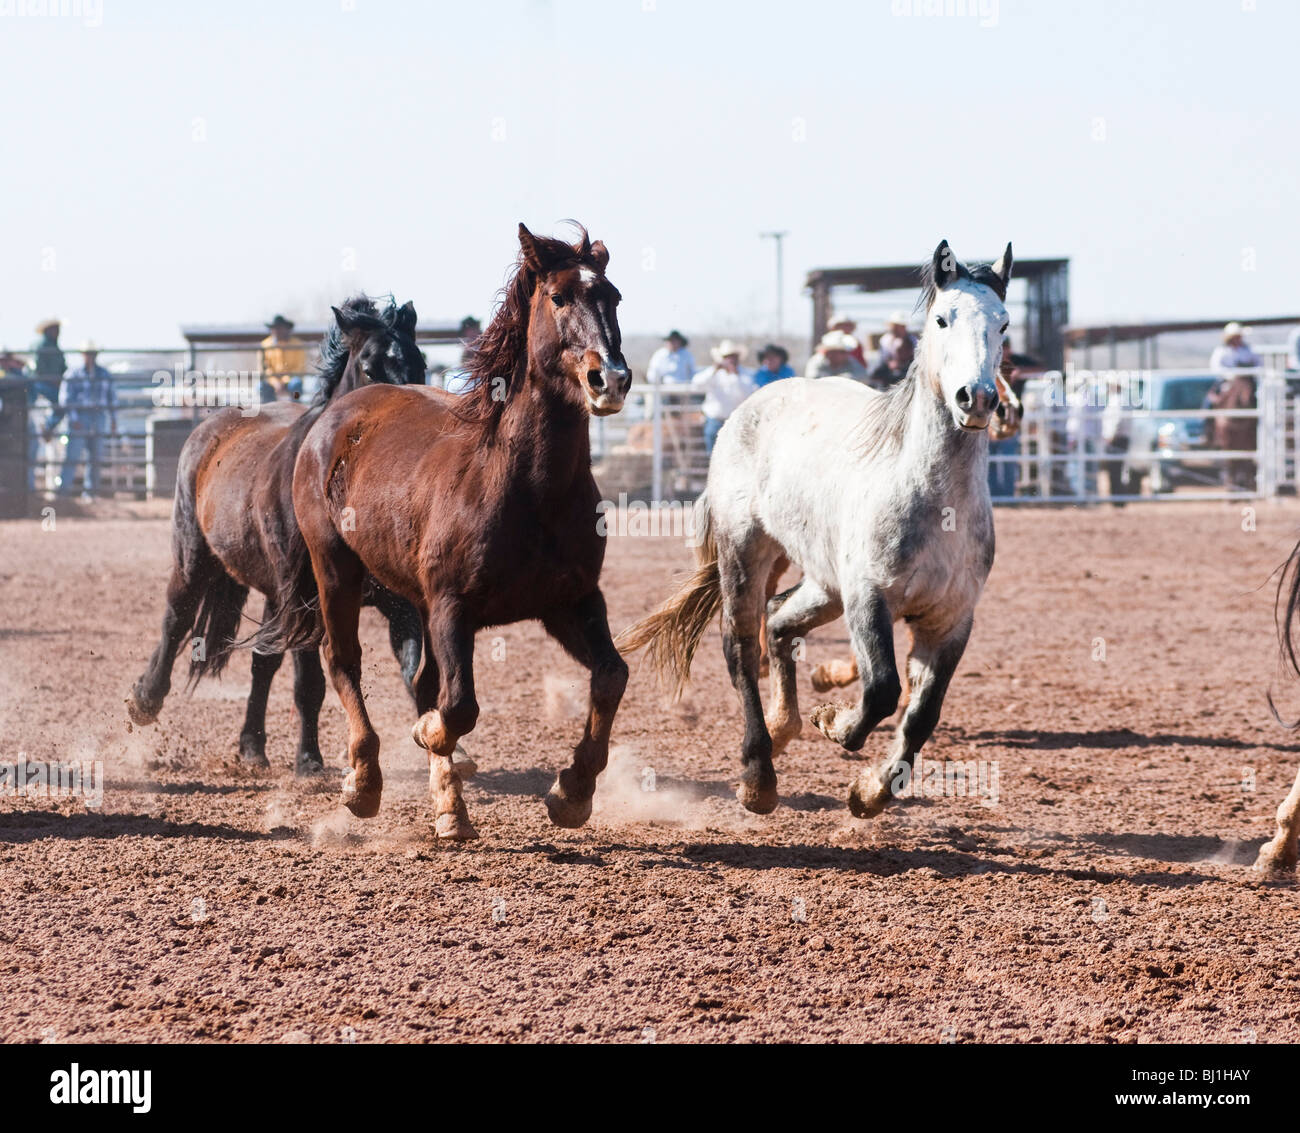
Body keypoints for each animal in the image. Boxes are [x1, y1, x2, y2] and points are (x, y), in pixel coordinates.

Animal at [126, 297, 428, 775]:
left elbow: (414, 670)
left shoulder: (398, 602)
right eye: (369, 367)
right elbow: (309, 682)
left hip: (272, 592)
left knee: (262, 661)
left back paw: (252, 746)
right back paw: (145, 701)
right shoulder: (309, 599)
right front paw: (308, 760)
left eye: (420, 362)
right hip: (193, 557)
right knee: (177, 619)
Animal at [253, 223, 632, 840]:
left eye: (613, 297)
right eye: (558, 297)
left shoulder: (571, 601)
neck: (524, 484)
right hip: (335, 569)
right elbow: (456, 708)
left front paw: (572, 791)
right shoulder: (452, 606)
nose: (611, 379)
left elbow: (610, 675)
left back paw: (449, 807)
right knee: (343, 658)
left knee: (420, 677)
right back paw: (363, 782)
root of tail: (338, 415)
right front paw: (425, 737)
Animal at [619, 239, 1011, 819]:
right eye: (943, 318)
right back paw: (758, 775)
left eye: (1004, 323)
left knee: (781, 622)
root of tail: (752, 405)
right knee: (742, 648)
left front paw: (869, 792)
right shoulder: (868, 597)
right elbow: (881, 689)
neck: (935, 503)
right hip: (747, 556)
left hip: (824, 585)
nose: (977, 398)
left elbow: (921, 714)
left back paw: (784, 729)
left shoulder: (951, 619)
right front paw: (838, 725)